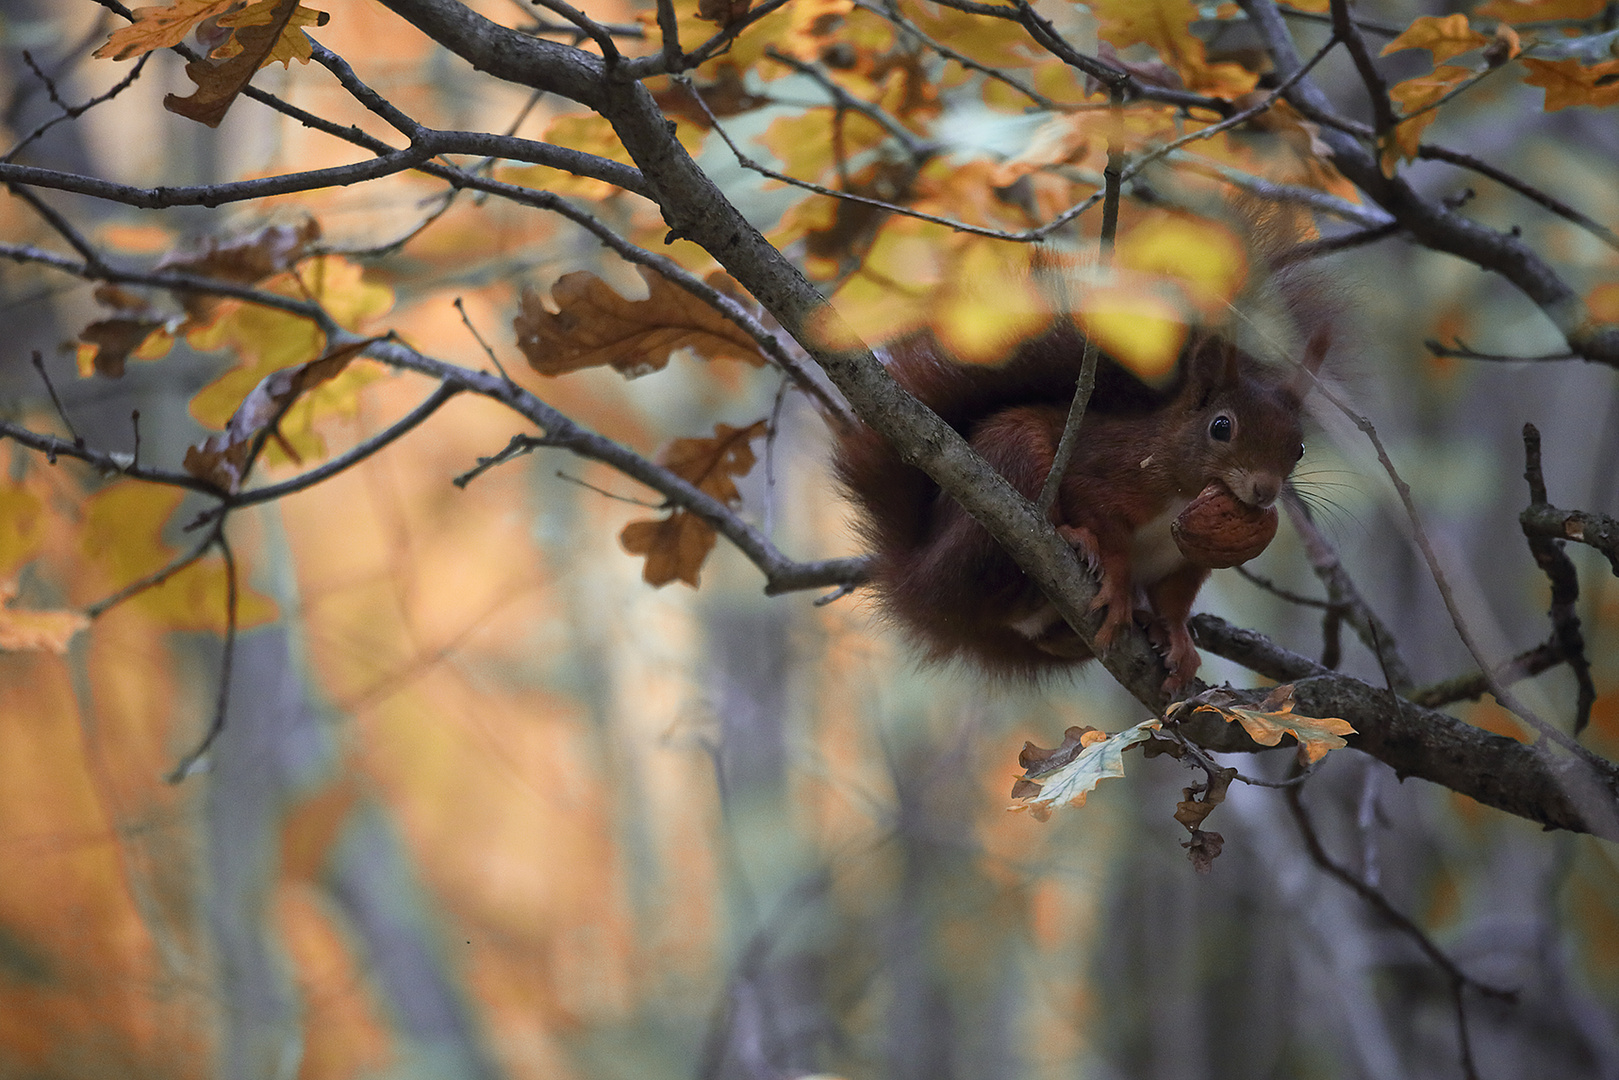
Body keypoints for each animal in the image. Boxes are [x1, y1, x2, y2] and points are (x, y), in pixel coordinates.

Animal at [828, 317, 1321, 696]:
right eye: (1221, 427)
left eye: (1298, 447)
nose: (1264, 490)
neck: (1179, 500)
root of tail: (917, 582)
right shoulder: (1101, 474)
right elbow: (1107, 530)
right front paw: (1117, 584)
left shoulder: (1187, 560)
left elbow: (1175, 600)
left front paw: (1179, 640)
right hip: (1009, 471)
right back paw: (1072, 543)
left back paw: (1140, 625)